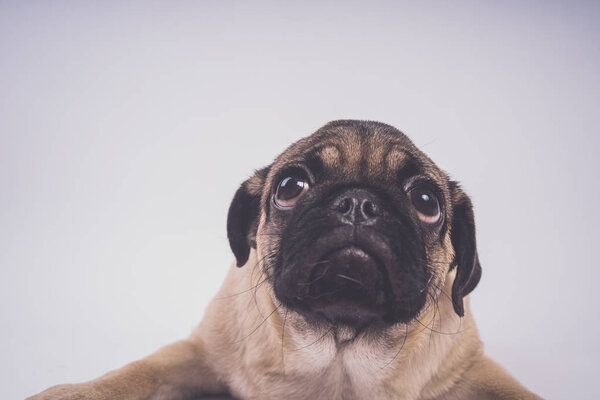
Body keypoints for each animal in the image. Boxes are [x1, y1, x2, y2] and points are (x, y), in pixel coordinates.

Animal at [29, 119, 544, 400]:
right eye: (290, 187)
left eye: (425, 201)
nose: (358, 203)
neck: (340, 350)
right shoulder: (199, 354)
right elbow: (134, 373)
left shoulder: (471, 369)